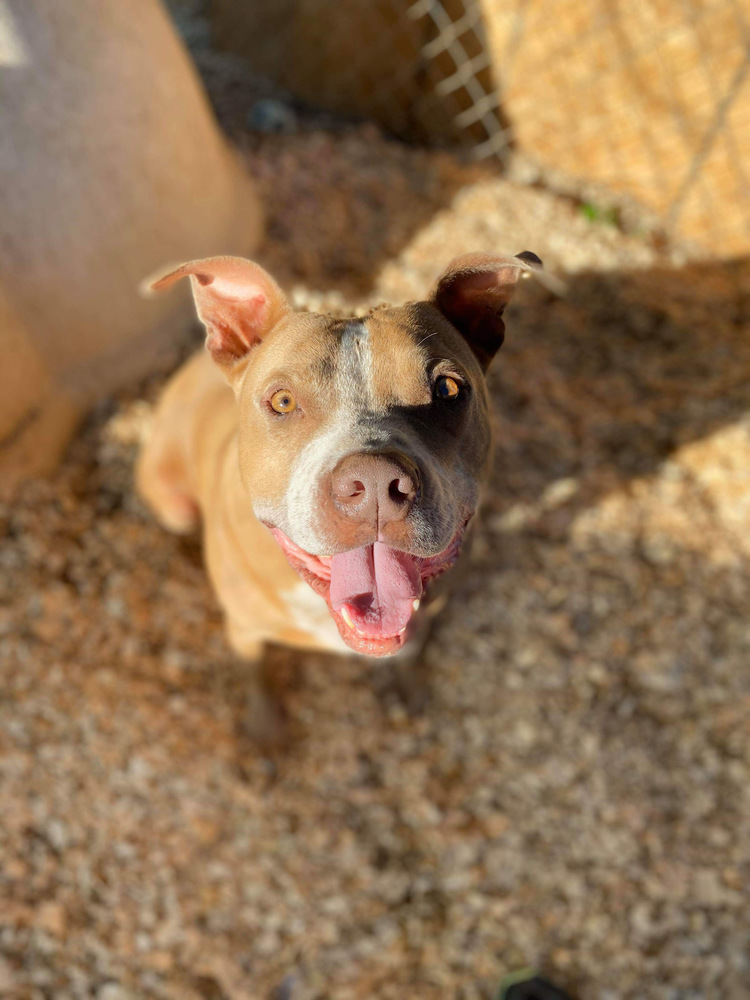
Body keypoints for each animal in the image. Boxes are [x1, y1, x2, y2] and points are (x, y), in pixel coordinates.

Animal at [137, 250, 540, 716]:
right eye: (283, 401)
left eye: (447, 389)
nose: (376, 482)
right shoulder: (245, 630)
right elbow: (256, 674)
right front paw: (262, 724)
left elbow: (412, 649)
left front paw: (409, 691)